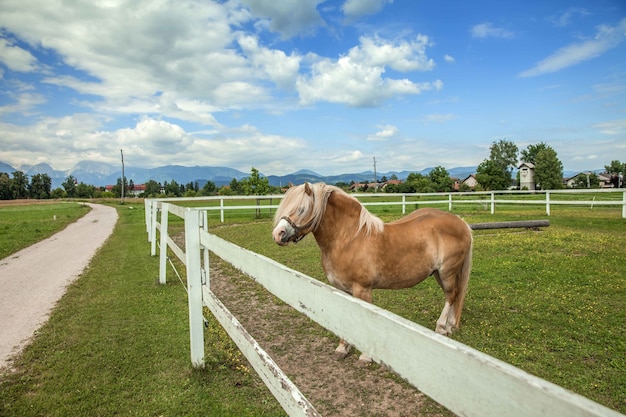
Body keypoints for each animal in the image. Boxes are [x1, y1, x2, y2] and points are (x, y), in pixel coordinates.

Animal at [270, 182, 470, 360]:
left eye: (302, 209)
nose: (278, 234)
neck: (348, 239)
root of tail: (462, 223)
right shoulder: (342, 290)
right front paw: (342, 349)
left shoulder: (362, 290)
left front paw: (365, 356)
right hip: (438, 274)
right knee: (453, 296)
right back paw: (448, 328)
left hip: (447, 272)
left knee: (451, 295)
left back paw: (441, 327)